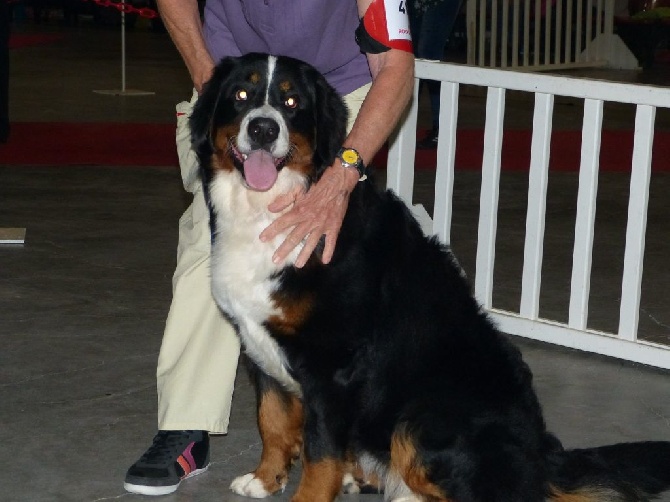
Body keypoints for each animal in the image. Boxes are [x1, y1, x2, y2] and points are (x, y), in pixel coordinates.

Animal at [190, 53, 670, 500]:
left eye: (291, 103)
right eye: (241, 95)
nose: (263, 129)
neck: (272, 208)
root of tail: (544, 456)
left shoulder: (331, 365)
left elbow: (320, 453)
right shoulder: (259, 346)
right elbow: (271, 419)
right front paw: (265, 478)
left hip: (421, 417)